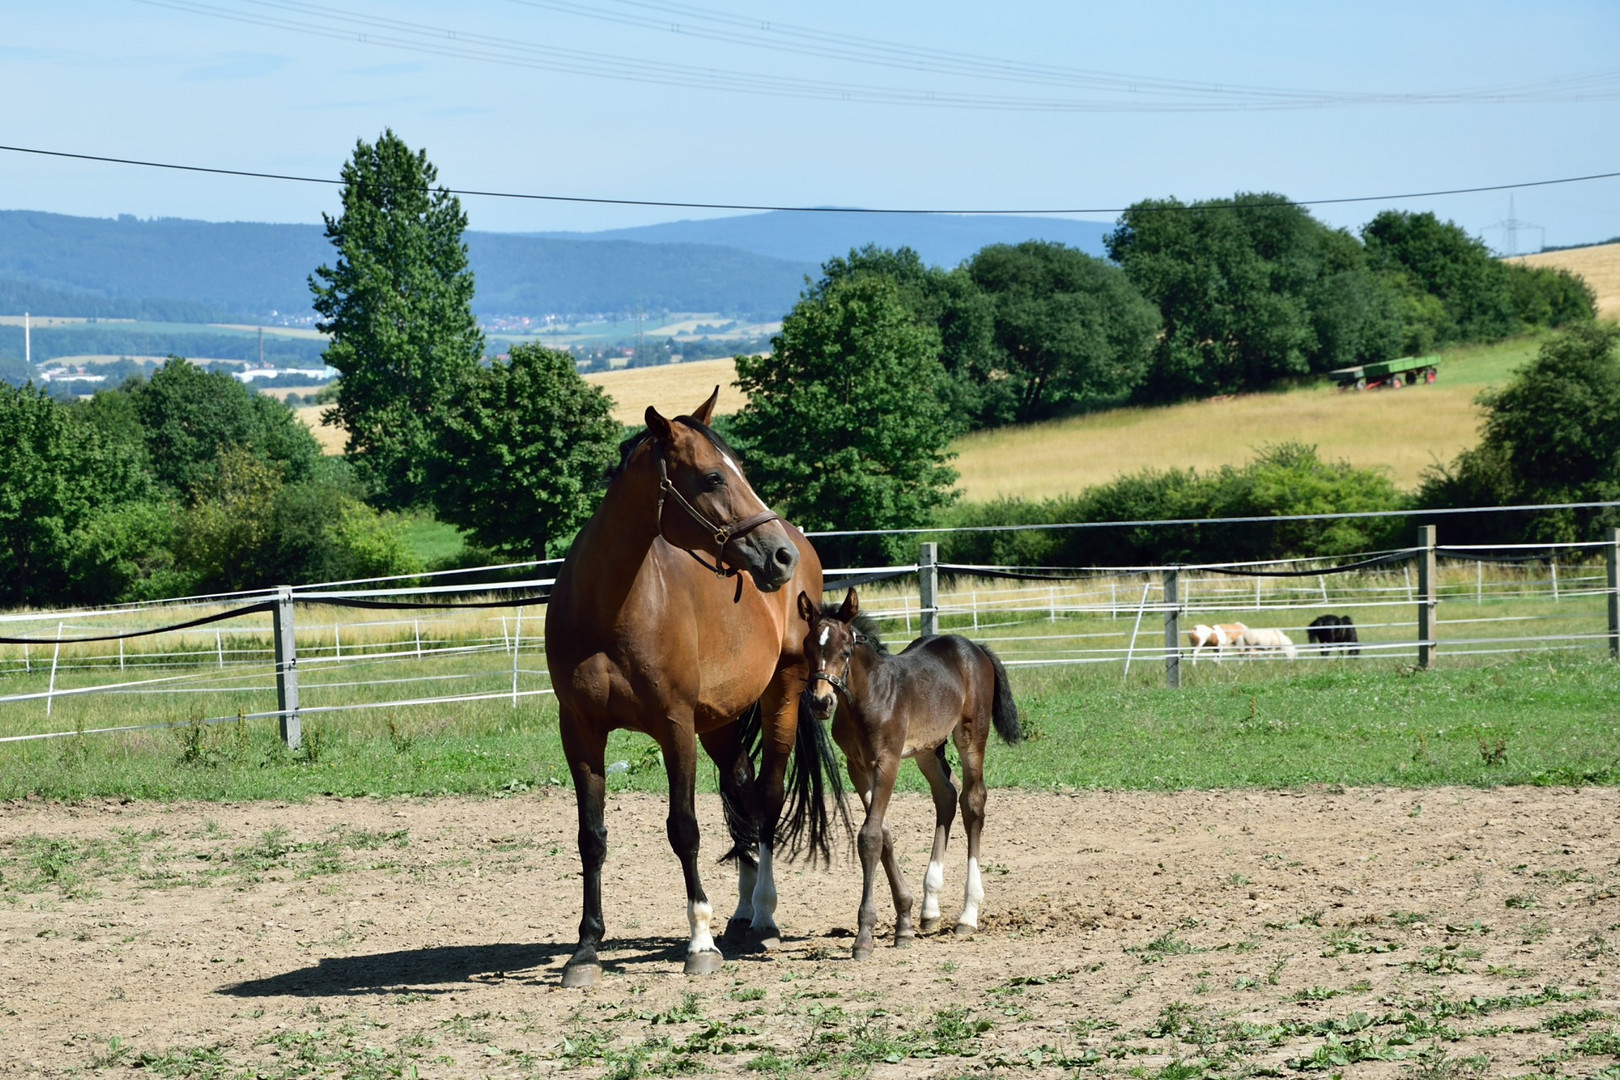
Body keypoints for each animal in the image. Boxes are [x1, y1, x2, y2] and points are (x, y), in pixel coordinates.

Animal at [547, 388, 848, 990]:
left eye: (740, 470)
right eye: (712, 477)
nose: (780, 556)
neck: (608, 610)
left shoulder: (675, 726)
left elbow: (683, 828)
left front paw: (700, 941)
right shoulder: (581, 732)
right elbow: (591, 836)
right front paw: (586, 949)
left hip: (780, 697)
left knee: (768, 800)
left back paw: (764, 917)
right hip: (721, 723)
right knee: (743, 796)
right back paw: (743, 913)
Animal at [790, 592, 1017, 965]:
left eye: (846, 651)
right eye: (809, 648)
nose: (821, 702)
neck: (869, 697)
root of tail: (974, 647)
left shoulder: (887, 761)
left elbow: (869, 837)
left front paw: (864, 937)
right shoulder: (857, 767)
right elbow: (882, 833)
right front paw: (905, 923)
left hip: (971, 735)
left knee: (972, 801)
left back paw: (968, 915)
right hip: (928, 748)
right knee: (946, 795)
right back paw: (930, 908)